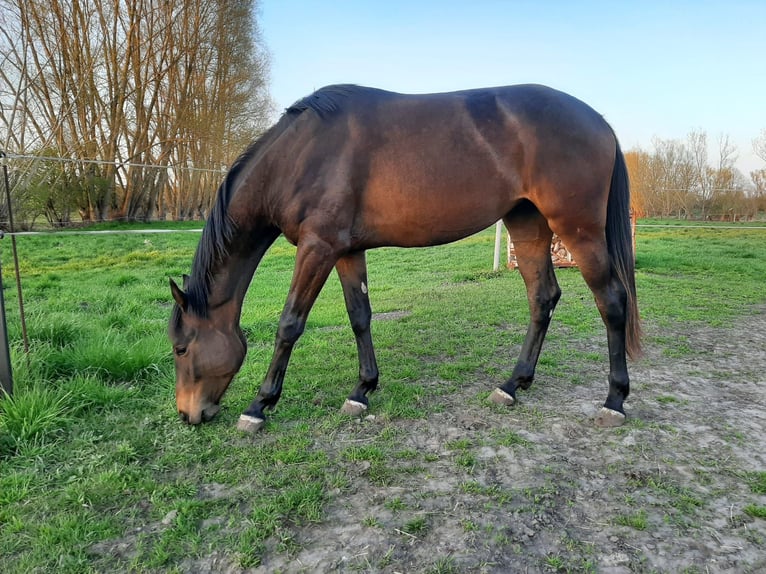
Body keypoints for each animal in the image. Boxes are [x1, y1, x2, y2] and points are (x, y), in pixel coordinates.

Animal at [170, 84, 640, 432]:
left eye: (180, 347)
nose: (188, 414)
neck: (301, 154)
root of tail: (599, 121)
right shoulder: (346, 250)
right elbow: (359, 315)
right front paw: (362, 390)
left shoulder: (317, 247)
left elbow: (289, 324)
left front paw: (259, 406)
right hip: (527, 225)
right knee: (542, 297)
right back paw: (512, 384)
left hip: (578, 228)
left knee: (612, 301)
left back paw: (614, 400)